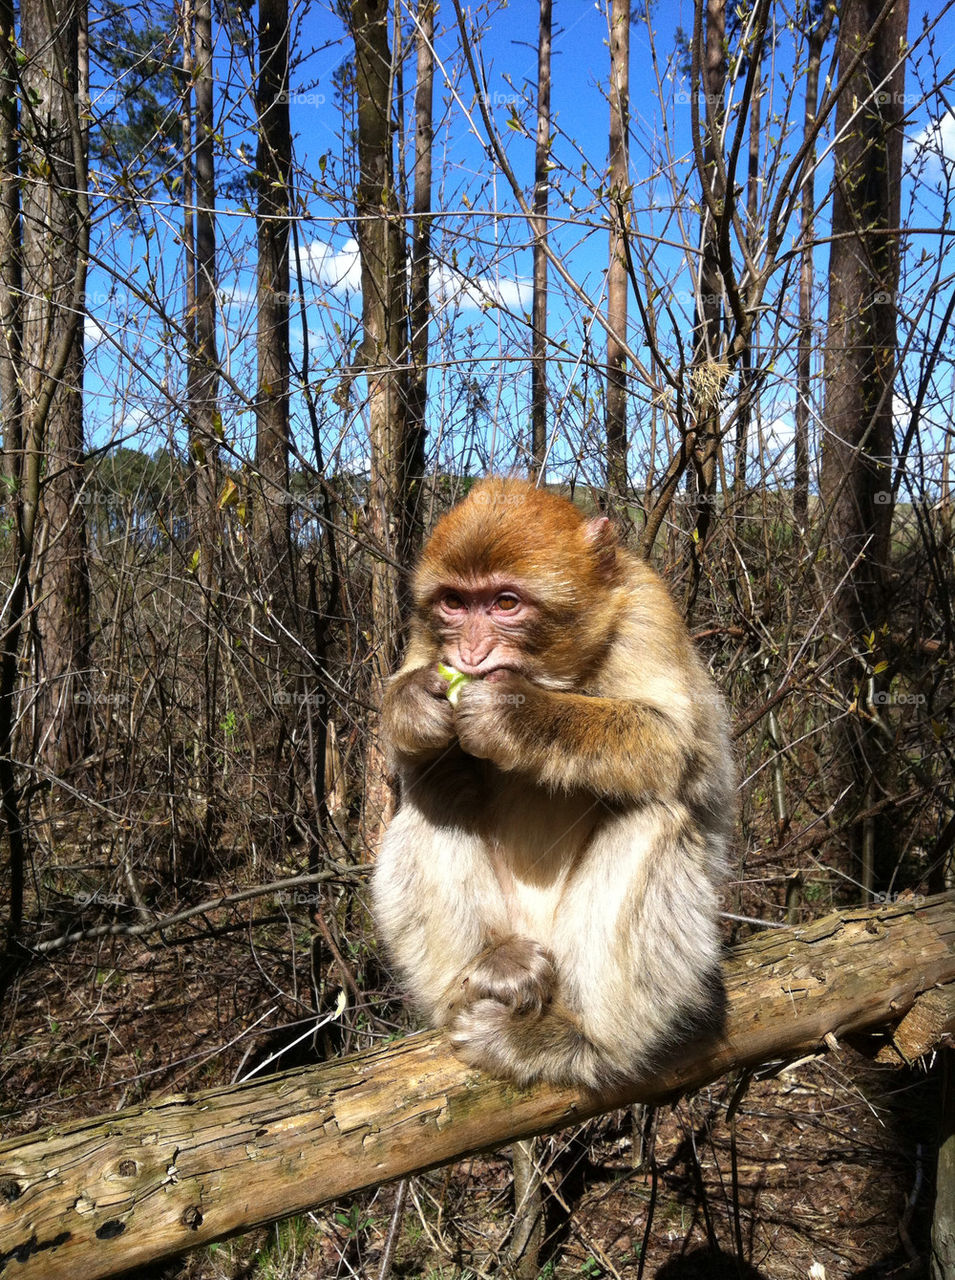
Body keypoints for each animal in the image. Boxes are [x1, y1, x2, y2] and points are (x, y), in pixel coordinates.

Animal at [371, 476, 734, 1090]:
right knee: (434, 789)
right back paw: (491, 965)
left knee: (654, 815)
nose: (469, 653)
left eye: (506, 603)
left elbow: (673, 746)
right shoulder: (425, 631)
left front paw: (515, 714)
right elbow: (404, 752)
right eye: (454, 603)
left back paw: (580, 1042)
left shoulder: (648, 613)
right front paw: (416, 702)